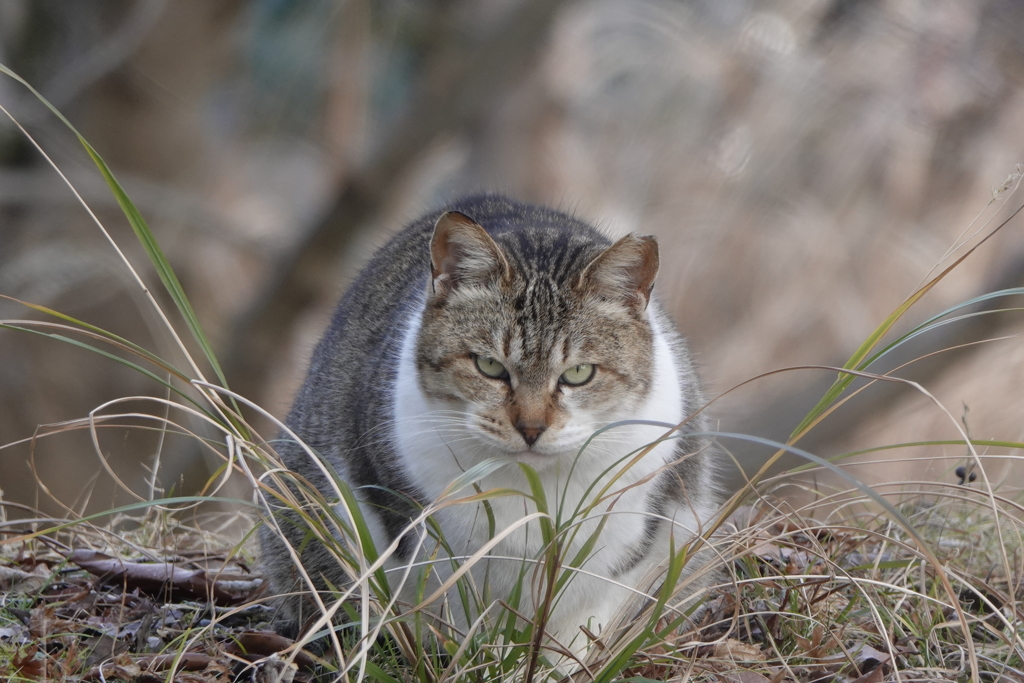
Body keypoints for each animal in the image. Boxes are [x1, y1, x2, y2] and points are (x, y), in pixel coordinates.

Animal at [260, 193, 716, 663]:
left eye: (579, 373)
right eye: (490, 366)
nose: (531, 427)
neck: (532, 490)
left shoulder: (627, 539)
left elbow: (579, 618)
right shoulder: (423, 534)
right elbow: (456, 608)